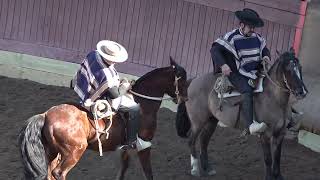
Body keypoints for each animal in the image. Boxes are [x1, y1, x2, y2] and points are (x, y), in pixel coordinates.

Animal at [18, 57, 188, 179]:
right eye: (183, 80)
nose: (184, 98)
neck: (143, 103)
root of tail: (46, 115)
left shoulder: (126, 149)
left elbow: (123, 170)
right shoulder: (144, 146)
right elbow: (148, 173)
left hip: (52, 152)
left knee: (50, 172)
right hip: (73, 153)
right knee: (58, 173)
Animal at [175, 48, 308, 180]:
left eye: (300, 67)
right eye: (288, 69)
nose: (302, 92)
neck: (274, 99)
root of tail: (193, 81)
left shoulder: (280, 134)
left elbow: (277, 158)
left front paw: (278, 176)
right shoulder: (265, 134)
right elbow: (268, 158)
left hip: (211, 120)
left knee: (203, 141)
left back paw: (208, 168)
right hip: (198, 121)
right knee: (191, 139)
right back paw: (195, 169)